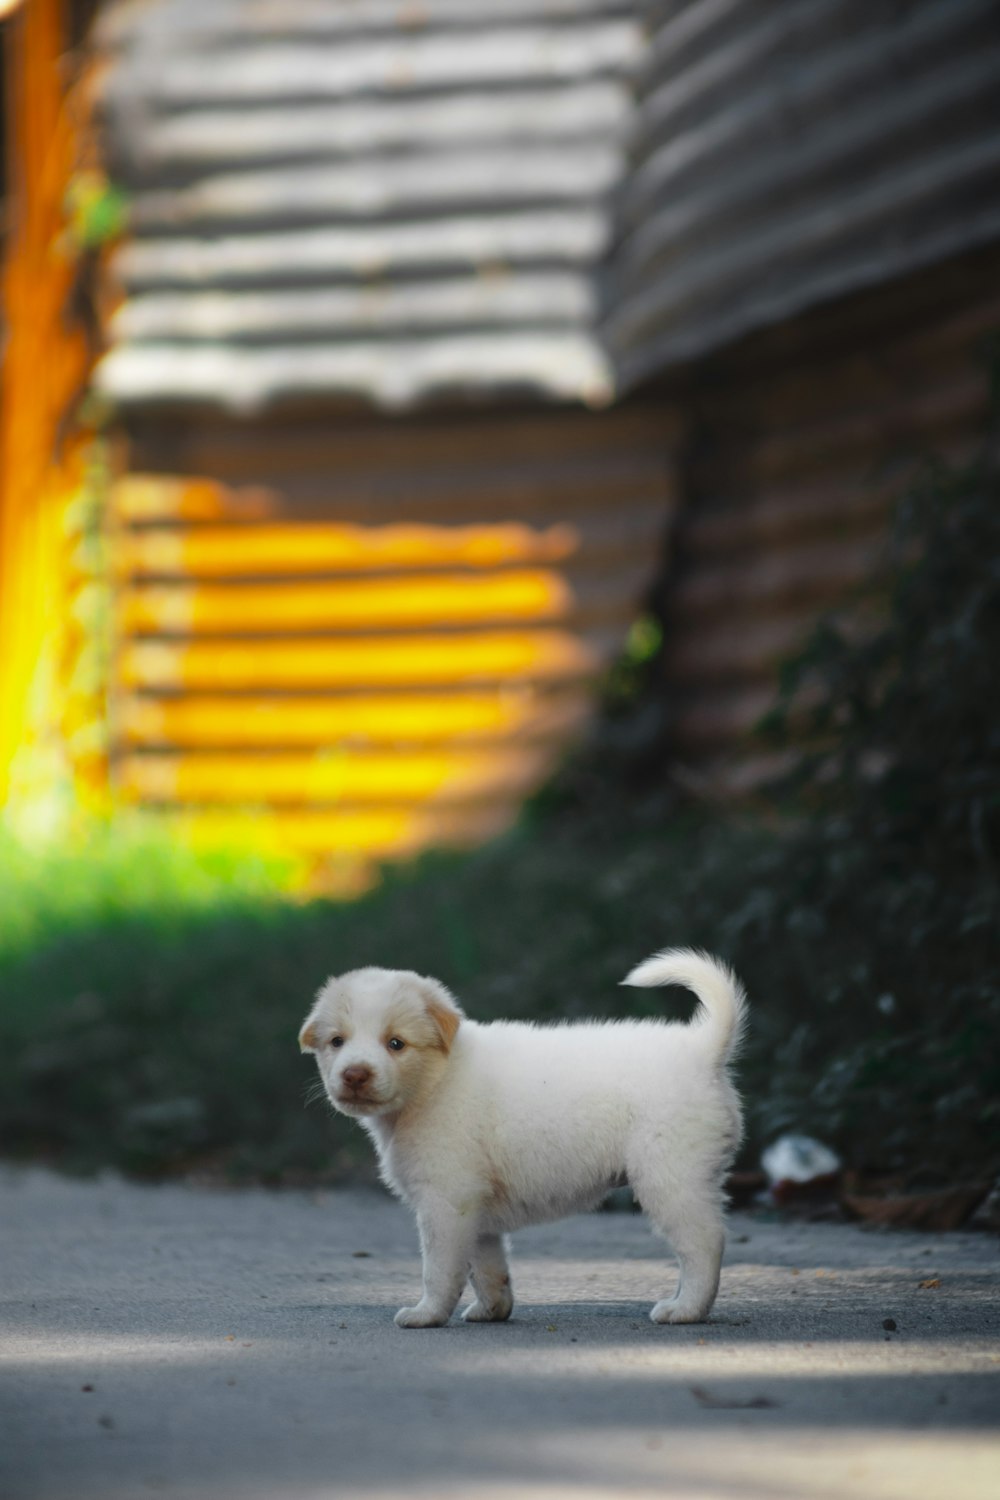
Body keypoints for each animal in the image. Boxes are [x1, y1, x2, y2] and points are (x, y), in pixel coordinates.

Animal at [301, 948, 746, 1326]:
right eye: (337, 1041)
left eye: (396, 1043)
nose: (355, 1074)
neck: (435, 1083)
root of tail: (701, 1049)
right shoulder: (475, 1211)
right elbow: (487, 1267)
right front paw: (491, 1310)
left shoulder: (446, 1202)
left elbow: (439, 1270)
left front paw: (426, 1314)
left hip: (670, 1176)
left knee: (704, 1242)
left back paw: (685, 1309)